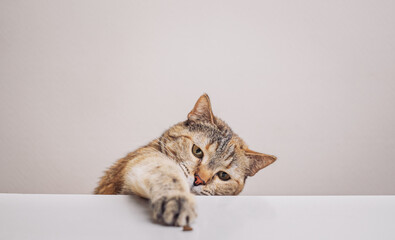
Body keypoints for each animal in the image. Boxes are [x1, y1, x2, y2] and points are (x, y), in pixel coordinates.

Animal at [94, 94, 276, 227]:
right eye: (197, 151)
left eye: (224, 176)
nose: (199, 180)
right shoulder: (146, 160)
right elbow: (166, 173)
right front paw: (177, 200)